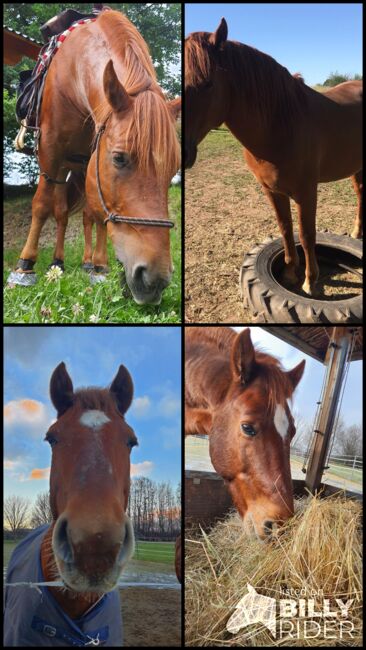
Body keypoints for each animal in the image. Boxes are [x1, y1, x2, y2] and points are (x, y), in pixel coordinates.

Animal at [11, 8, 182, 302]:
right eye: (119, 158)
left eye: (174, 169)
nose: (155, 280)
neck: (73, 73)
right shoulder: (49, 149)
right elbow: (42, 205)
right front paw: (25, 266)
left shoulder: (91, 160)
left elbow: (95, 211)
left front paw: (99, 266)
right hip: (62, 165)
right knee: (60, 211)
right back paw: (57, 262)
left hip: (78, 167)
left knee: (83, 214)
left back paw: (85, 262)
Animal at [184, 19, 362, 294]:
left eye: (208, 84)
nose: (180, 150)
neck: (281, 124)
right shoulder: (272, 190)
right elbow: (286, 229)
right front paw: (290, 274)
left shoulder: (306, 192)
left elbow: (307, 235)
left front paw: (310, 281)